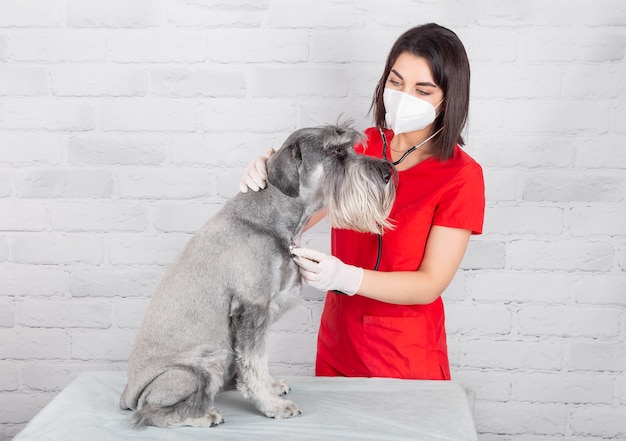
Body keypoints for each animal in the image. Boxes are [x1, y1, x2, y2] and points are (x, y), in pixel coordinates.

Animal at [118, 123, 394, 426]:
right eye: (336, 152)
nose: (388, 171)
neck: (272, 217)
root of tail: (127, 396)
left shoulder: (263, 313)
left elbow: (258, 360)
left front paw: (271, 388)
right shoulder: (252, 309)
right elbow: (253, 363)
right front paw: (272, 405)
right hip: (204, 362)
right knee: (150, 413)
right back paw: (203, 416)